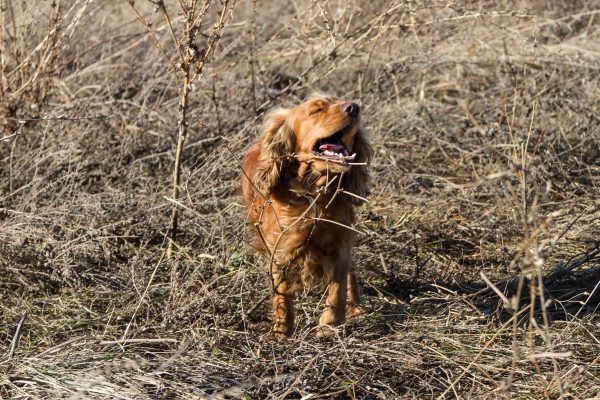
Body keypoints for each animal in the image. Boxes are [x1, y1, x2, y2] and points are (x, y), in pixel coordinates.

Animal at [239, 94, 370, 338]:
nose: (354, 107)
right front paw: (282, 330)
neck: (313, 191)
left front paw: (329, 325)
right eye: (316, 110)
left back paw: (356, 308)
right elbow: (281, 293)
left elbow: (338, 288)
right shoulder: (281, 248)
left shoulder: (341, 243)